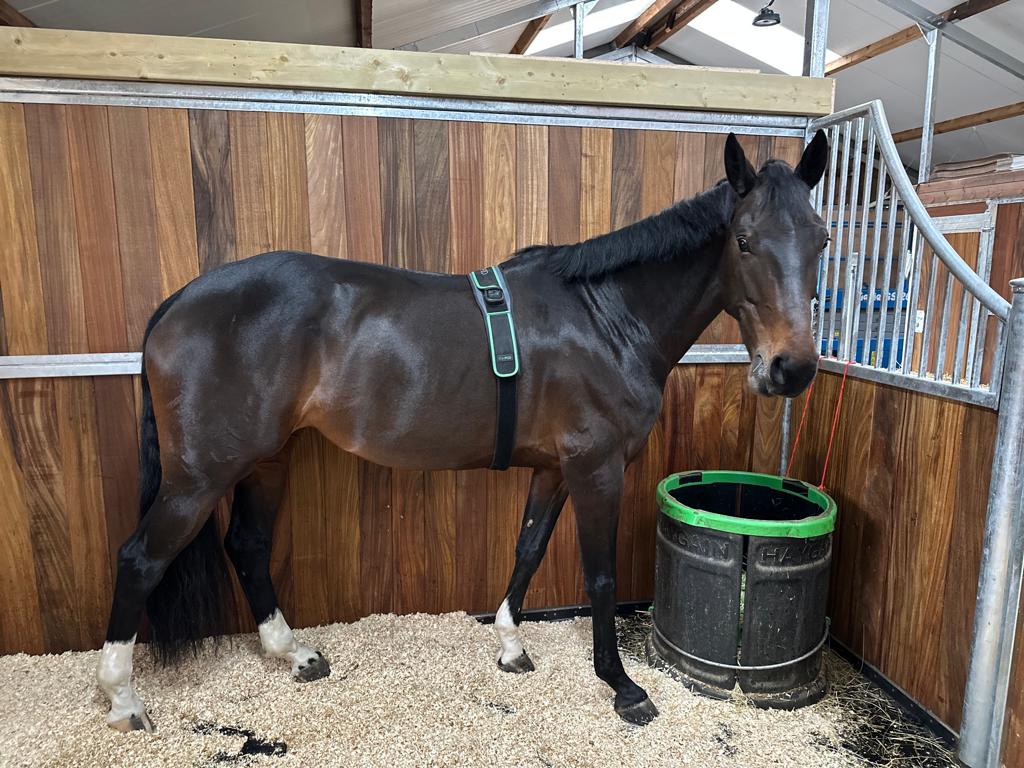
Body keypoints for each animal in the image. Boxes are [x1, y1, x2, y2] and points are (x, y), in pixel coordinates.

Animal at [96, 131, 830, 731]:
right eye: (744, 240)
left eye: (821, 240)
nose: (790, 370)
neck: (604, 317)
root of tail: (178, 302)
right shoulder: (596, 467)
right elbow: (599, 577)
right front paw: (622, 687)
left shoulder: (554, 467)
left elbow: (528, 548)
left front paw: (511, 646)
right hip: (199, 477)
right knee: (139, 560)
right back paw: (123, 699)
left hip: (266, 461)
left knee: (247, 545)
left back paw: (293, 655)